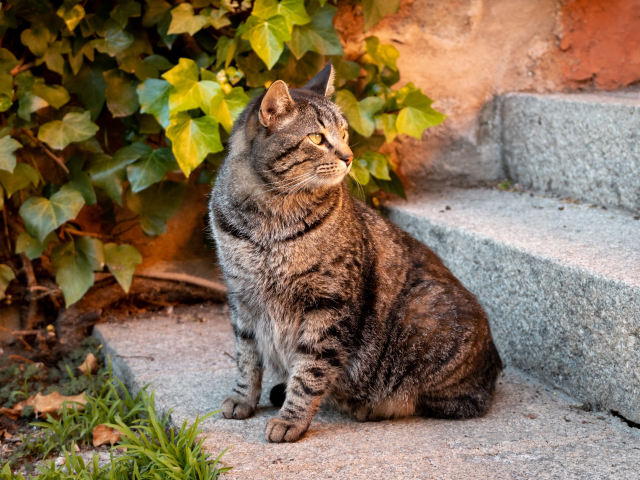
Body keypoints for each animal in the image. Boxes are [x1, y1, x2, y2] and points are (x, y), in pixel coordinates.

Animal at [208, 62, 502, 442]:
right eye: (317, 138)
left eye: (344, 133)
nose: (349, 157)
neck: (270, 219)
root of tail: (495, 364)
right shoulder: (241, 298)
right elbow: (247, 358)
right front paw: (243, 399)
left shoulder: (329, 304)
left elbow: (311, 372)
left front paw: (291, 420)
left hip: (423, 315)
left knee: (447, 401)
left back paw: (369, 405)